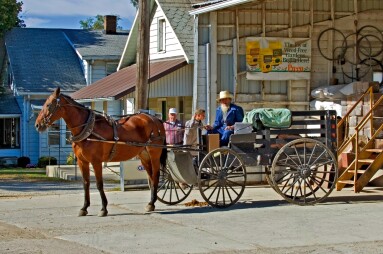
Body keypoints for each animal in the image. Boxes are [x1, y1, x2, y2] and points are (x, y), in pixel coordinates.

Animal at [35, 88, 166, 216]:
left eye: (48, 105)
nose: (37, 124)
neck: (88, 129)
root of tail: (156, 119)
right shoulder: (82, 161)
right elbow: (86, 183)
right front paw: (84, 207)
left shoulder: (96, 161)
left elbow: (99, 184)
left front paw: (103, 208)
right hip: (144, 156)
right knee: (151, 177)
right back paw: (151, 203)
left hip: (154, 154)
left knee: (155, 175)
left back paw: (152, 203)